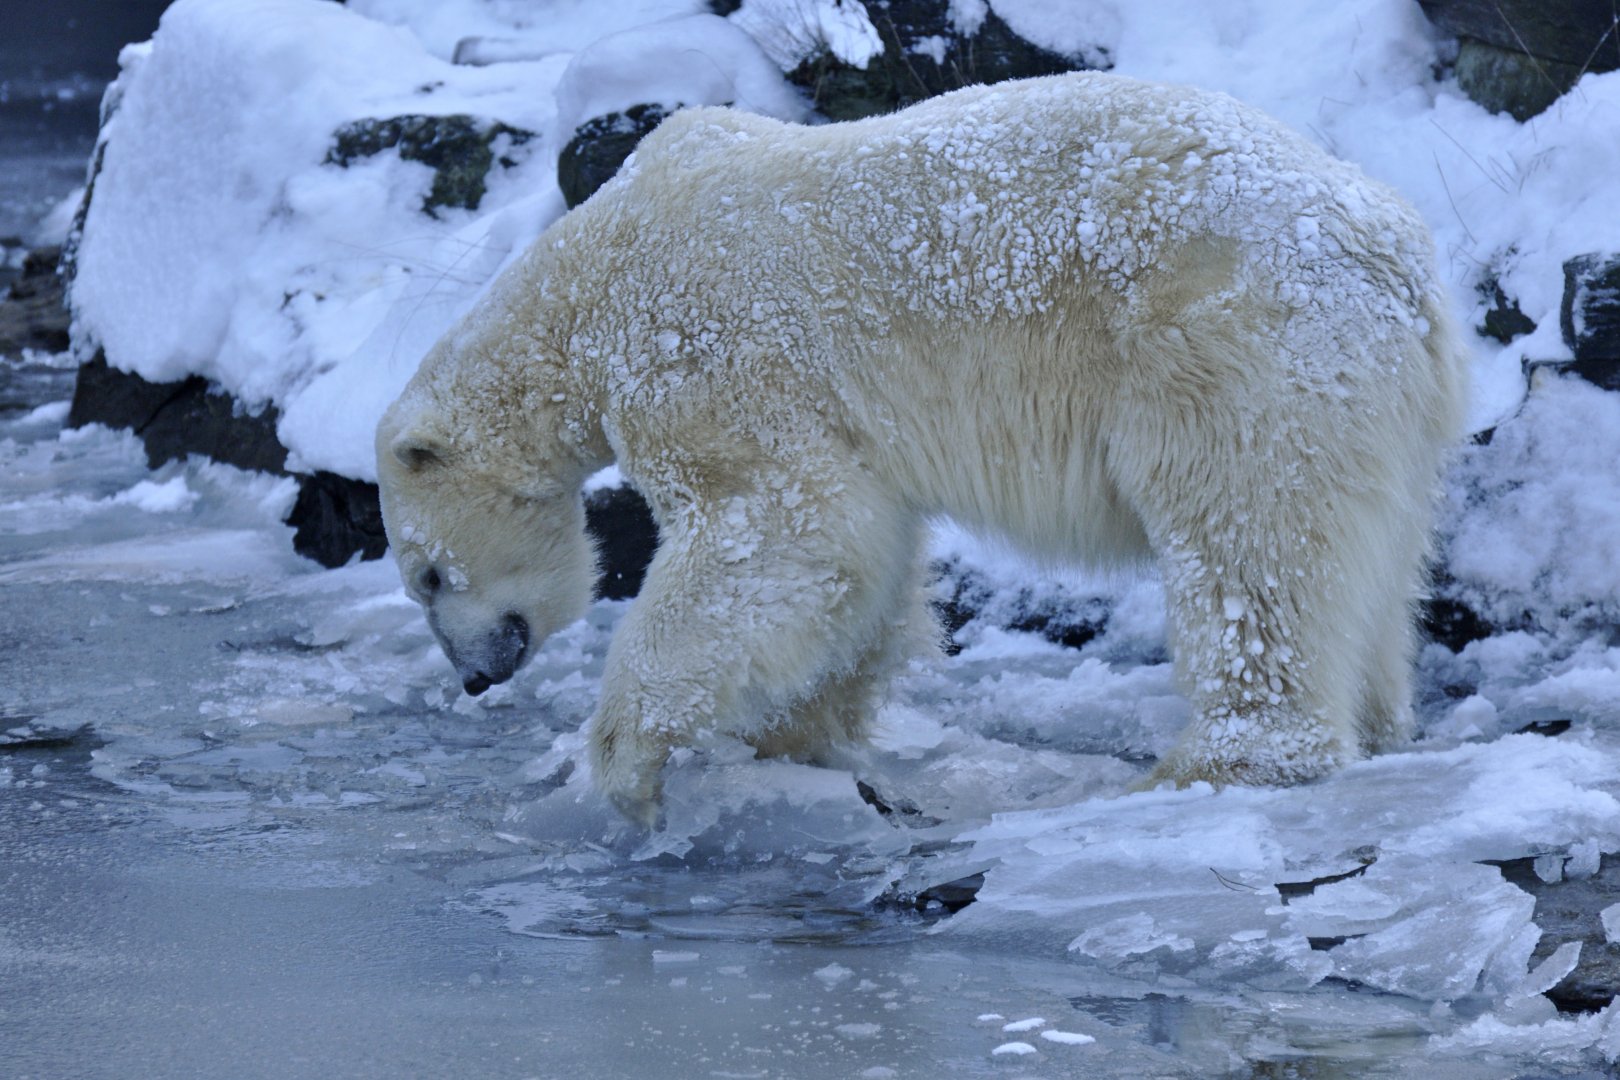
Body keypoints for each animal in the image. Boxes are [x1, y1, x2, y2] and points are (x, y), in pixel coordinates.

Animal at [375, 72, 1469, 827]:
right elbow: (864, 559)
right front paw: (794, 736)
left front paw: (627, 765)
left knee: (1250, 538)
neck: (585, 275)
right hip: (1373, 396)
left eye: (428, 576)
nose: (475, 677)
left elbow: (779, 529)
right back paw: (1379, 721)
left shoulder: (703, 351)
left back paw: (1216, 761)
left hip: (1235, 344)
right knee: (1369, 558)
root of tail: (1397, 256)